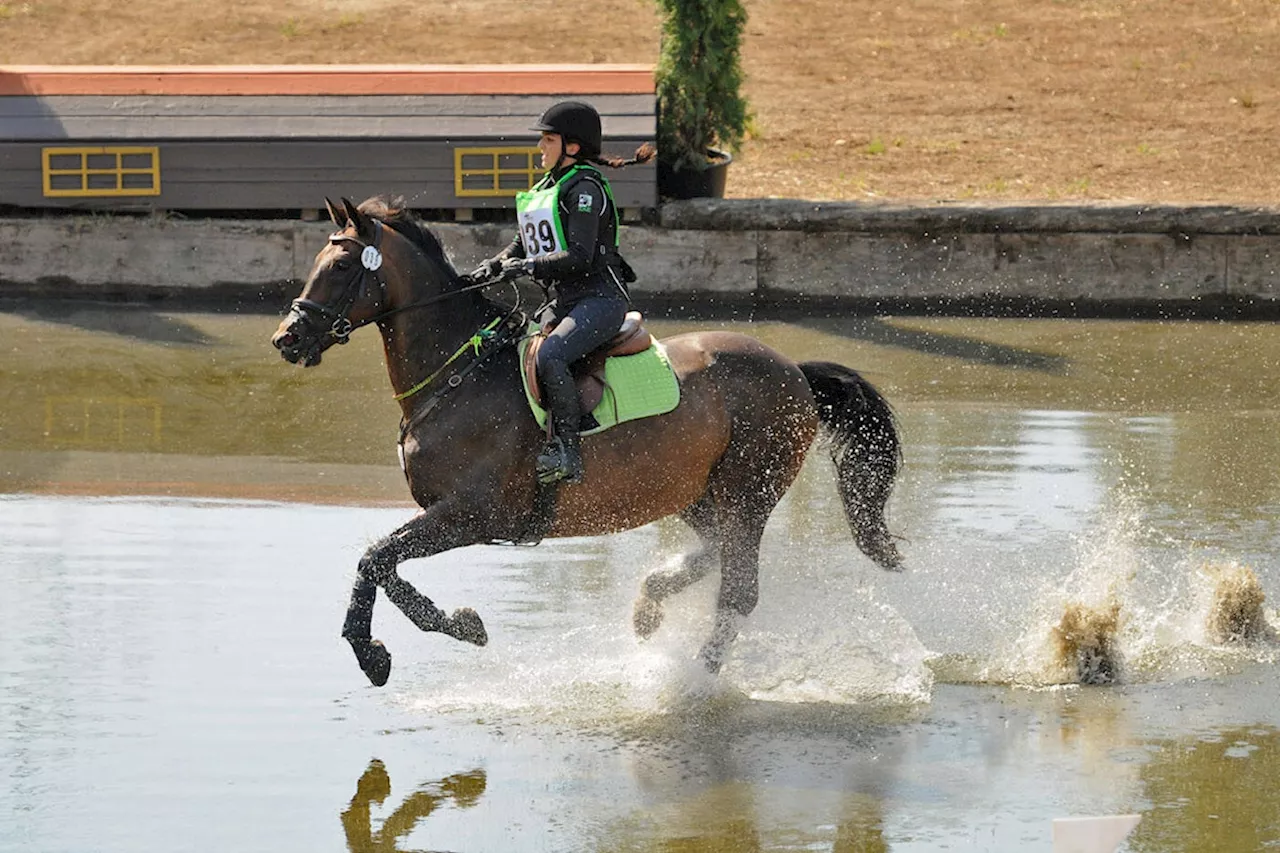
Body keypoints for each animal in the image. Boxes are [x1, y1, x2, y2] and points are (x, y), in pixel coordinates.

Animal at [270, 197, 906, 686]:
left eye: (342, 266)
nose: (286, 338)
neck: (457, 376)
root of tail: (794, 370)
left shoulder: (475, 514)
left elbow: (377, 557)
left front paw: (408, 641)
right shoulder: (454, 516)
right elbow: (377, 562)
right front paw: (412, 639)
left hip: (749, 491)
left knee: (738, 590)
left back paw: (697, 680)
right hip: (694, 493)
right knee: (715, 552)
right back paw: (650, 605)